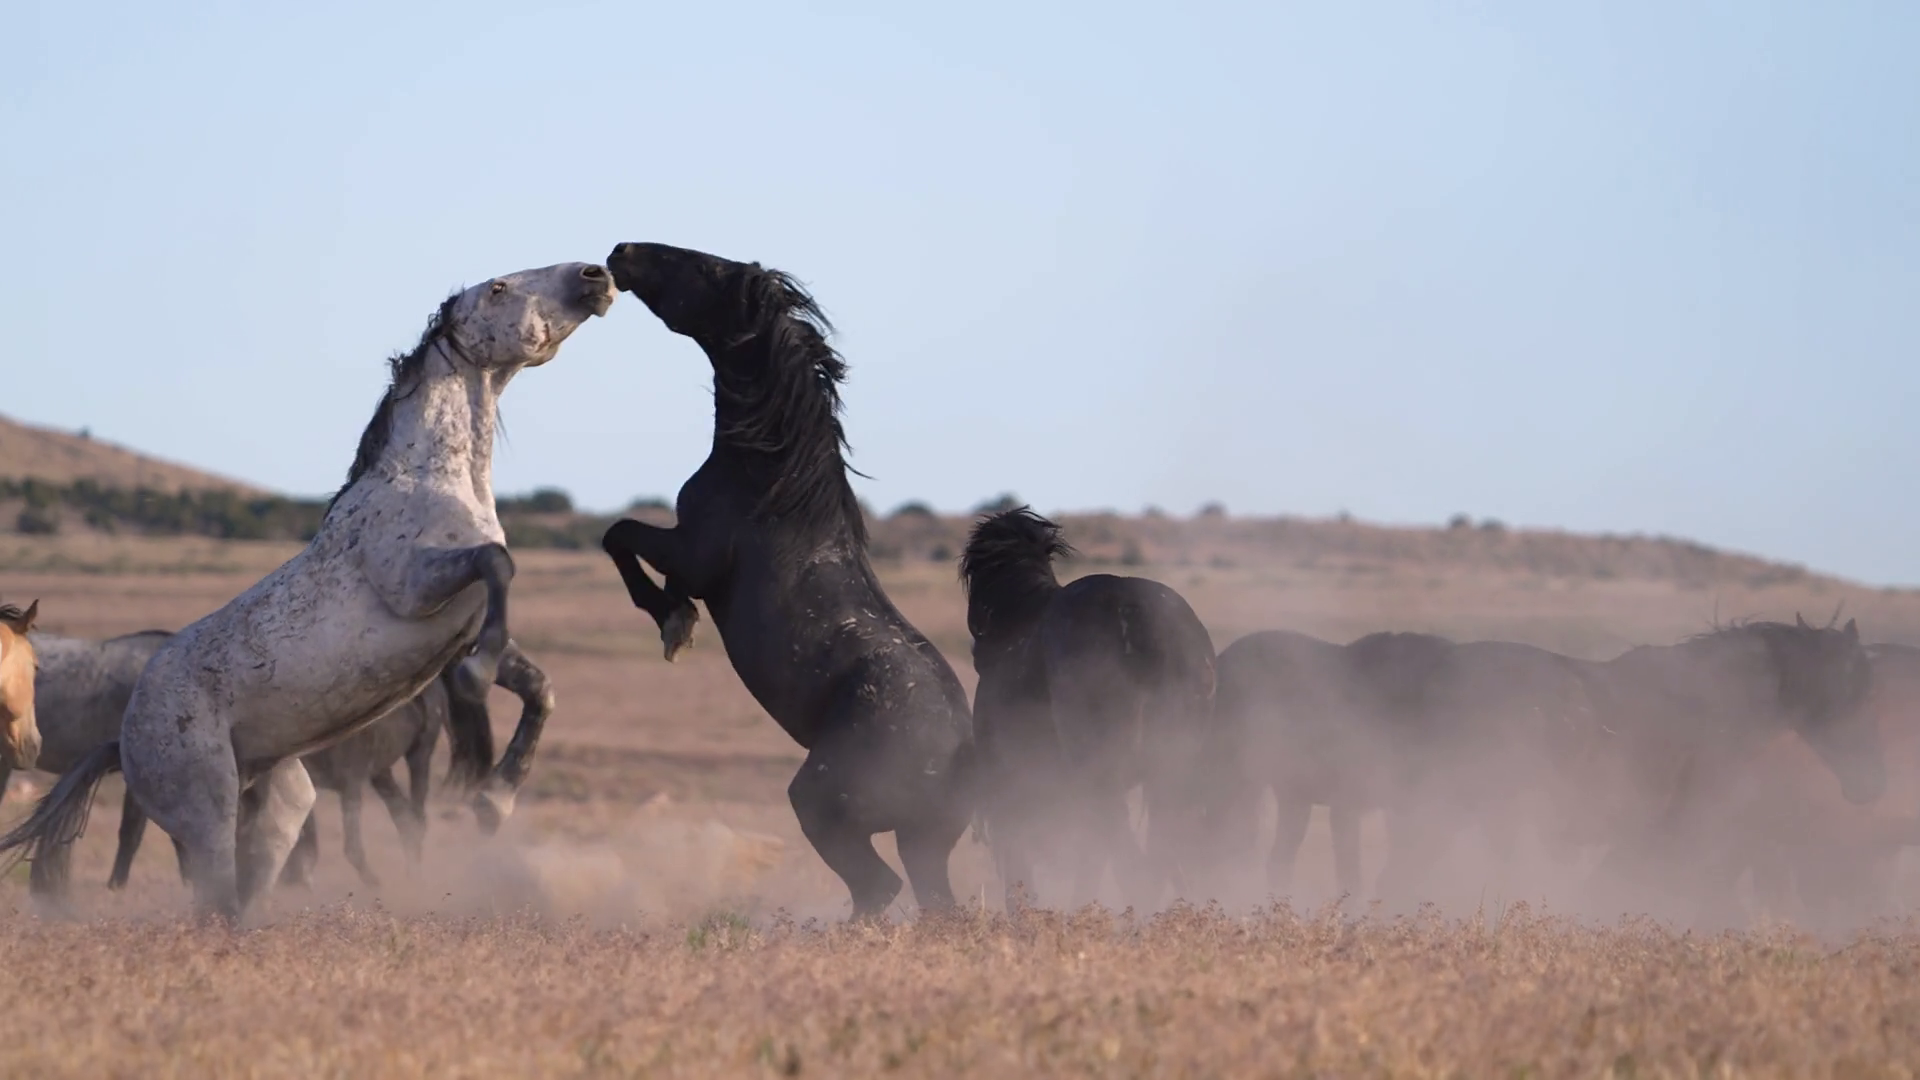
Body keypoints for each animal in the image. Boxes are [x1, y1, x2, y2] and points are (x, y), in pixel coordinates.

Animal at [0, 261, 612, 922]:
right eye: (498, 288)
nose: (595, 275)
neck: (429, 481)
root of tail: (125, 739)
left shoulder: (460, 628)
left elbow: (539, 688)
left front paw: (495, 801)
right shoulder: (417, 588)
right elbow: (498, 564)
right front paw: (481, 706)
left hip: (280, 805)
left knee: (240, 894)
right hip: (207, 810)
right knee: (214, 897)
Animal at [598, 242, 973, 922]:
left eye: (707, 269)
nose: (622, 251)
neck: (771, 478)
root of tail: (963, 754)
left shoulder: (694, 552)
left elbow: (621, 536)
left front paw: (674, 626)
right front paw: (675, 621)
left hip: (822, 803)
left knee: (876, 886)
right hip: (922, 843)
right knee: (926, 899)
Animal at [960, 507, 1218, 912]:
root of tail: (1136, 612)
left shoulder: (1011, 789)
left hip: (1103, 773)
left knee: (1132, 863)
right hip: (1170, 772)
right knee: (1157, 857)